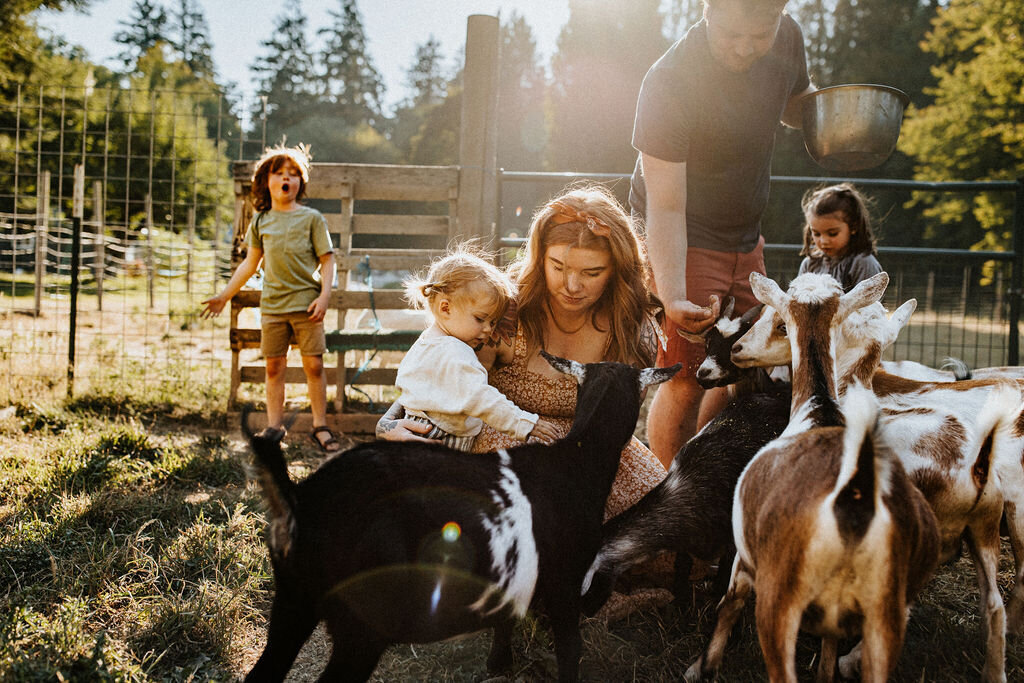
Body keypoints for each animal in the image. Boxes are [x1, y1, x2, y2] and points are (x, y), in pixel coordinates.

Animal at [684, 272, 937, 683]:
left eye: (779, 323)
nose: (737, 351)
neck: (819, 406)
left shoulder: (745, 554)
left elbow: (729, 603)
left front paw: (701, 666)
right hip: (884, 617)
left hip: (781, 601)